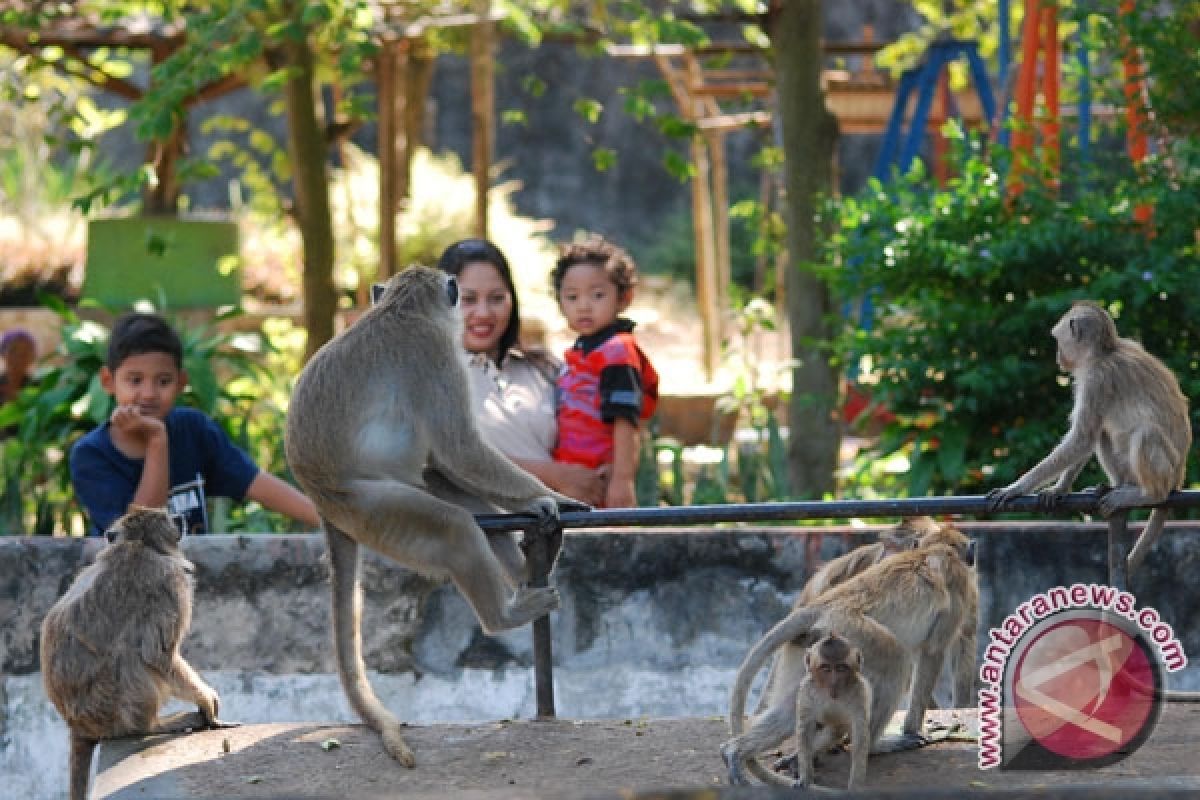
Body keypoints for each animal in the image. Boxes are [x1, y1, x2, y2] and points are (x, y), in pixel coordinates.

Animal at [285, 266, 585, 767]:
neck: (402, 309)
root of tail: (322, 501)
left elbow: (448, 461)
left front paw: (542, 505)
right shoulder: (435, 356)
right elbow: (459, 447)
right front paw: (549, 497)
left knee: (445, 484)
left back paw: (524, 569)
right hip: (372, 508)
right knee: (452, 526)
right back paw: (505, 615)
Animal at [720, 633, 873, 791]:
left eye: (841, 668)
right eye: (826, 668)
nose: (834, 683)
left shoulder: (860, 693)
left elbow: (860, 736)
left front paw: (855, 786)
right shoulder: (806, 689)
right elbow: (804, 729)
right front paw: (805, 779)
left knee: (835, 730)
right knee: (786, 720)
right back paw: (732, 751)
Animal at [984, 298, 1190, 568]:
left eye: (1057, 340)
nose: (1058, 356)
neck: (1105, 352)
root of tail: (1179, 476)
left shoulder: (1096, 380)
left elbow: (1082, 437)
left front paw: (1017, 488)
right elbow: (1088, 438)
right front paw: (1059, 488)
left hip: (1168, 469)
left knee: (1146, 433)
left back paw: (1148, 492)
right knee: (1105, 434)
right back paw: (1115, 486)